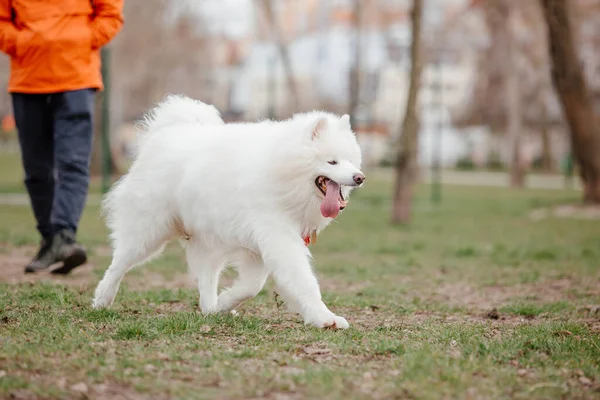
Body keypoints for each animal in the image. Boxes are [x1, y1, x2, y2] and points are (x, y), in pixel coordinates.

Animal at [92, 95, 366, 330]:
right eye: (332, 162)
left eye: (352, 161)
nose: (359, 177)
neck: (283, 171)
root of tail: (165, 133)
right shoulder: (278, 237)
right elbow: (303, 282)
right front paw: (325, 318)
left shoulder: (260, 246)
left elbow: (251, 286)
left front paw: (225, 303)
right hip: (149, 232)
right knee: (119, 263)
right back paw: (102, 299)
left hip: (207, 241)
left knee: (206, 278)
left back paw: (210, 309)